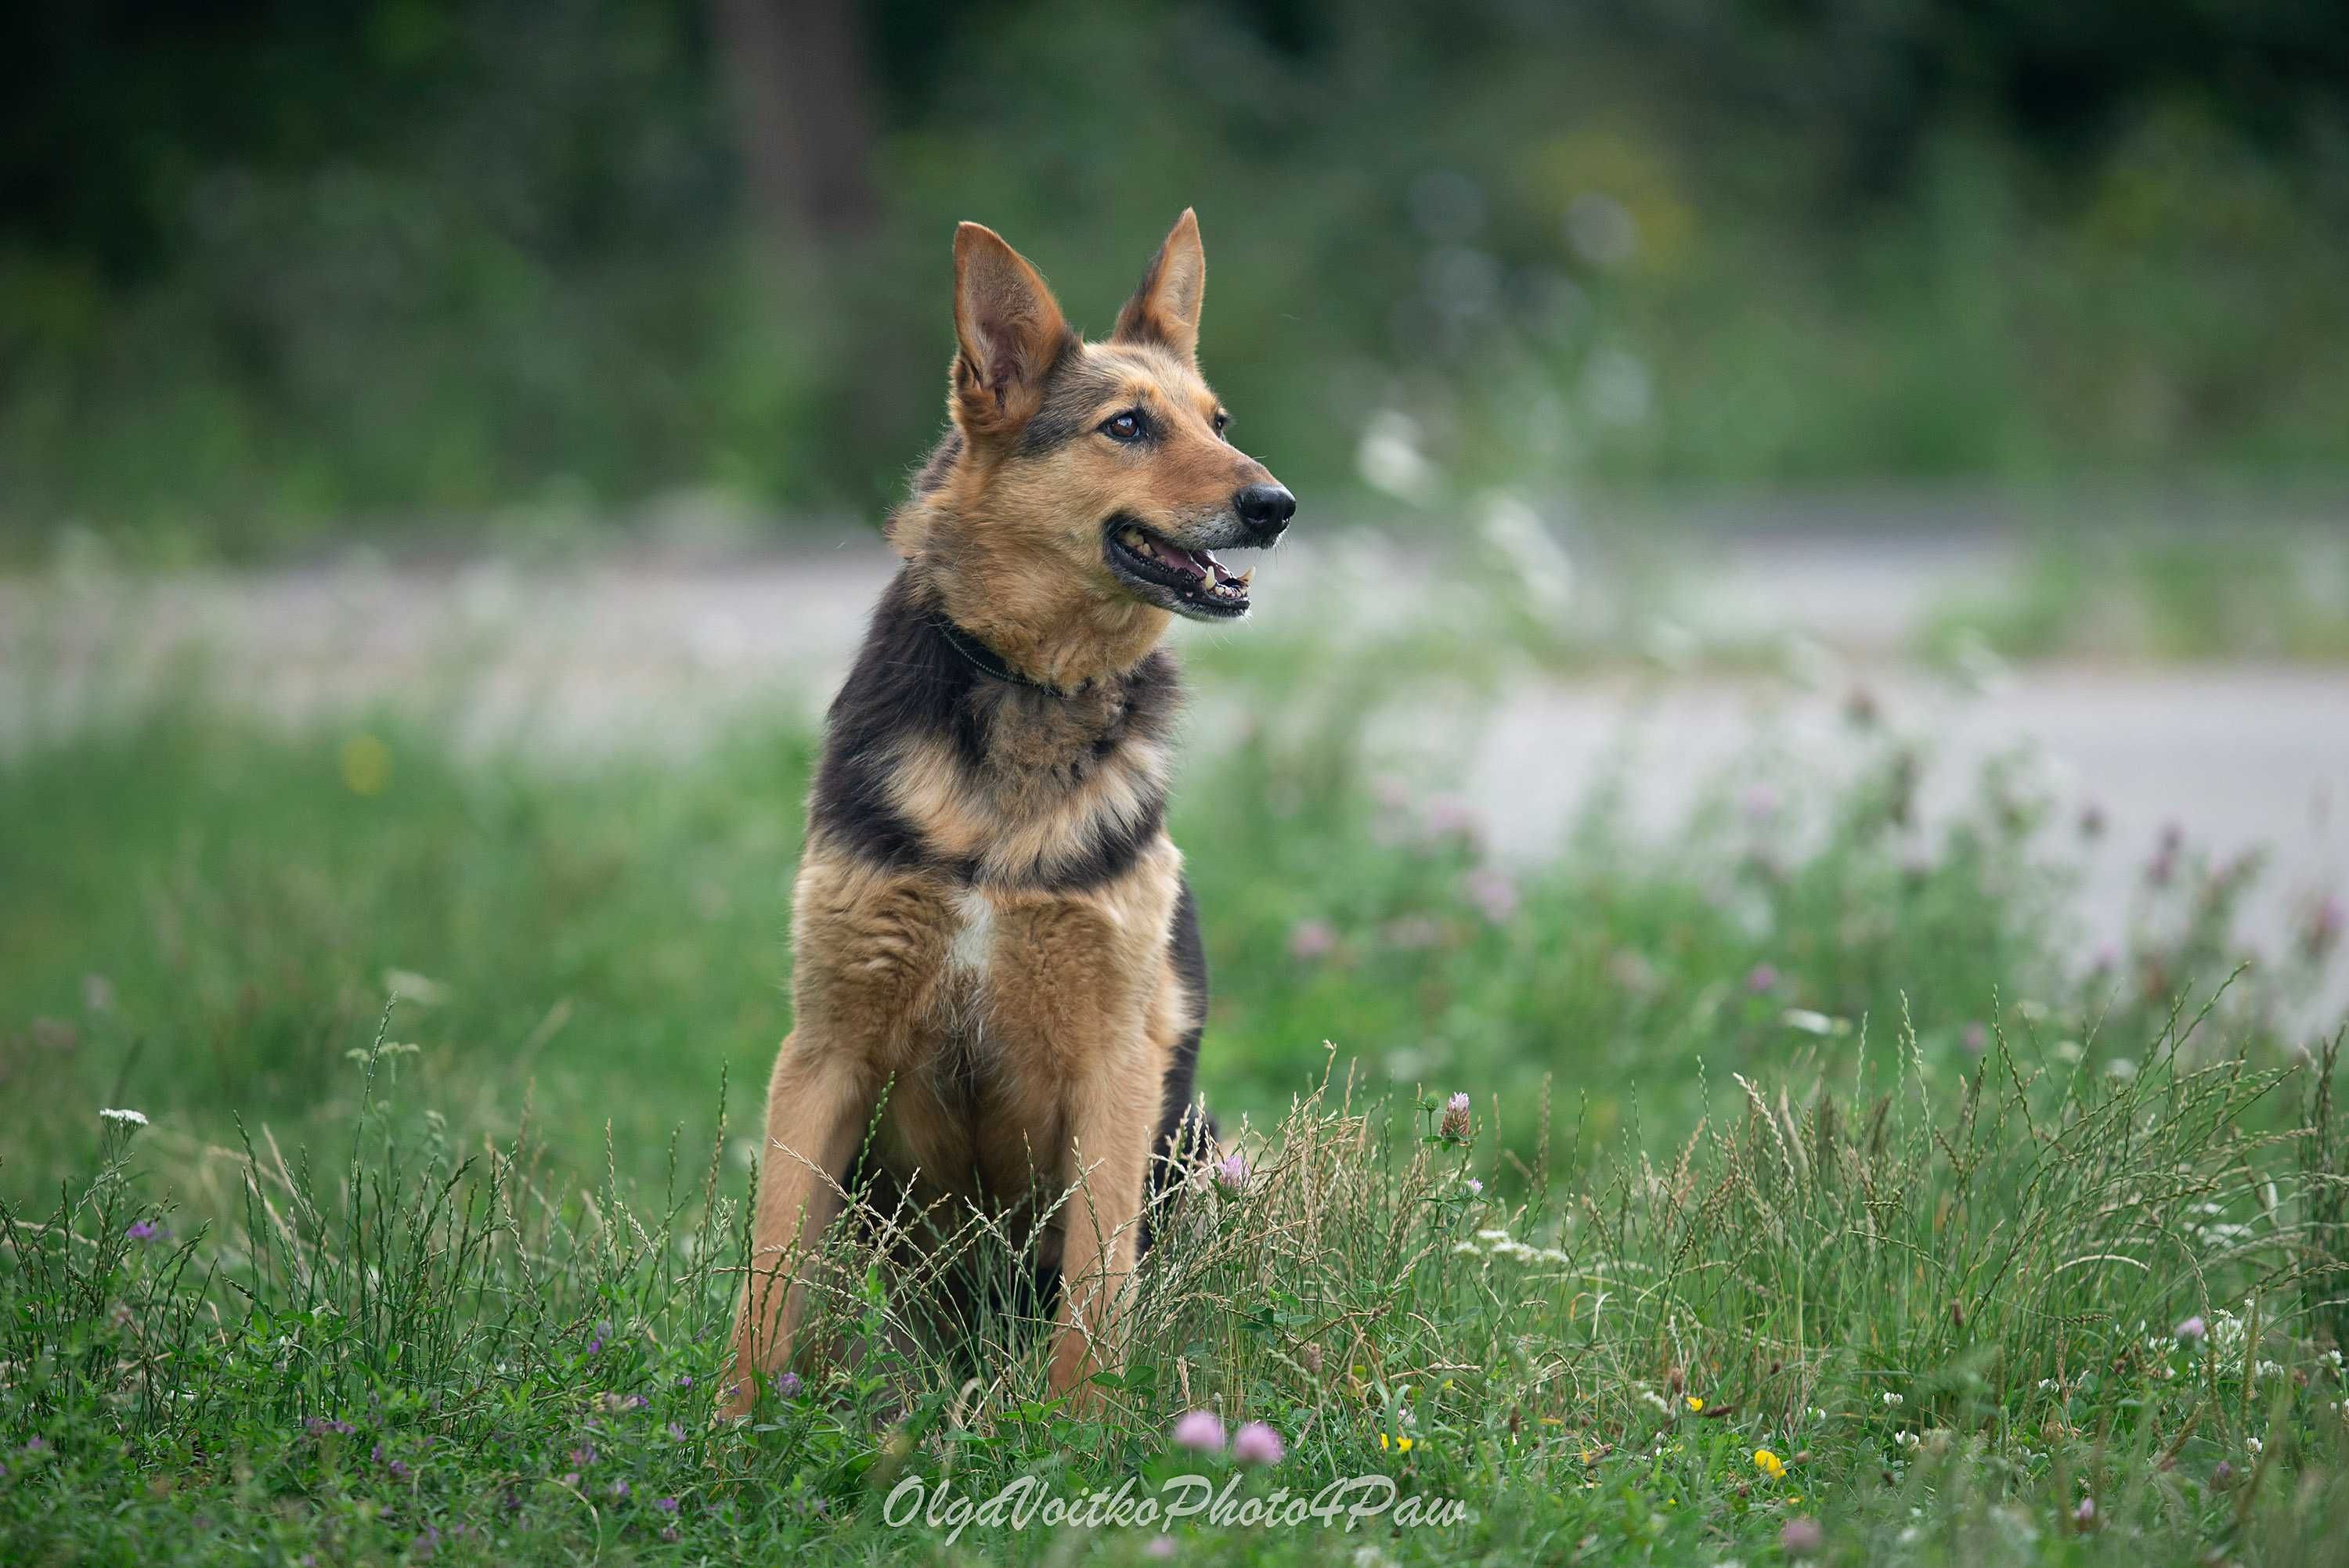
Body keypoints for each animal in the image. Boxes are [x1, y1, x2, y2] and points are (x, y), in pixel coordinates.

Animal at [723, 211, 1297, 1418]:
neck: (1031, 686)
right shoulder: (824, 1052)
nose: (1277, 506)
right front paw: (728, 1427)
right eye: (1128, 426)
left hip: (1192, 1138)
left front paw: (1079, 1429)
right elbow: (766, 1281)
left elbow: (1096, 1287)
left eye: (1218, 423)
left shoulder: (1115, 1074)